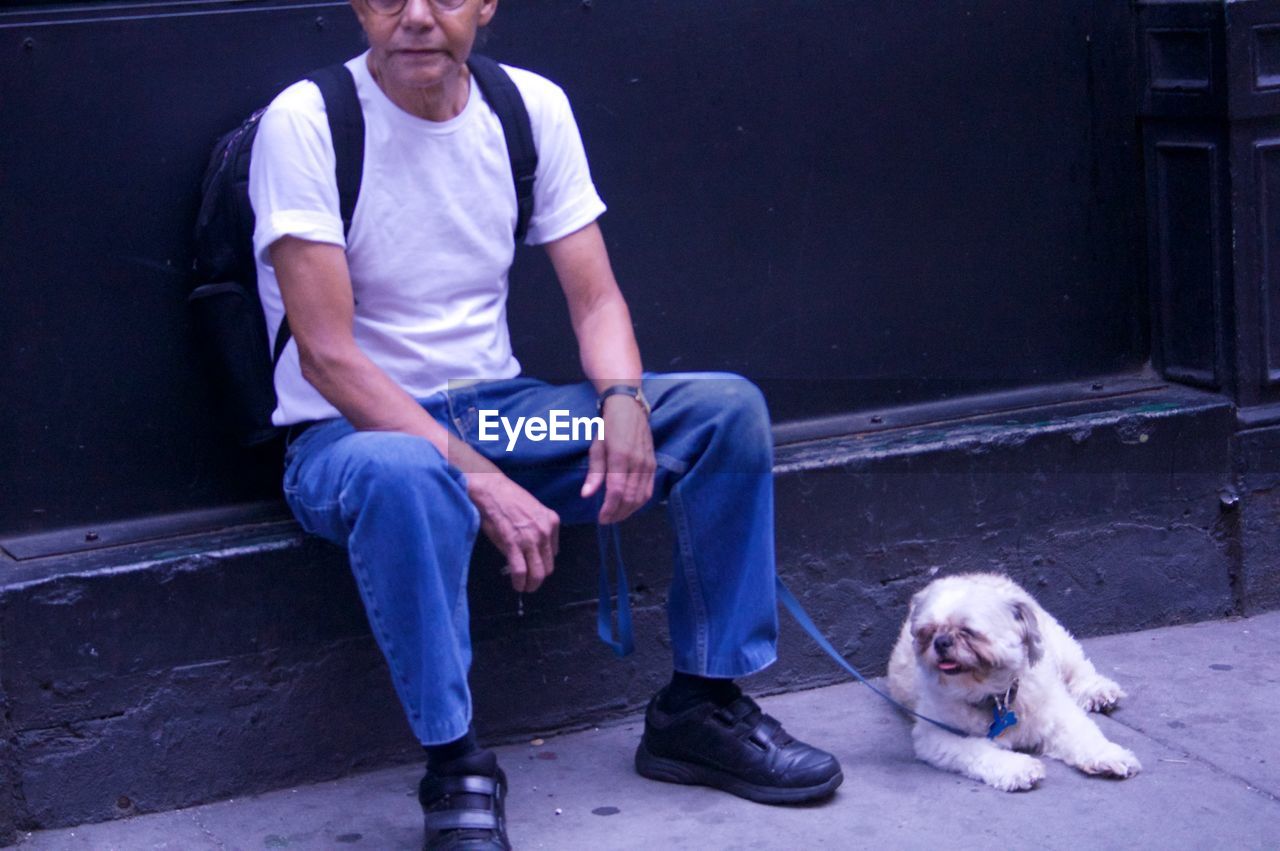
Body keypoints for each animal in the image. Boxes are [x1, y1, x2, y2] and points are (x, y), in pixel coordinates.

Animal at [885, 570, 1146, 788]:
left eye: (968, 632)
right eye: (927, 632)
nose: (941, 642)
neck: (995, 695)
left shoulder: (1058, 714)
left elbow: (1083, 734)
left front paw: (1107, 755)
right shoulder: (936, 734)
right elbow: (978, 749)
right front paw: (1018, 767)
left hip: (1058, 643)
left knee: (1078, 666)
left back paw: (1097, 692)